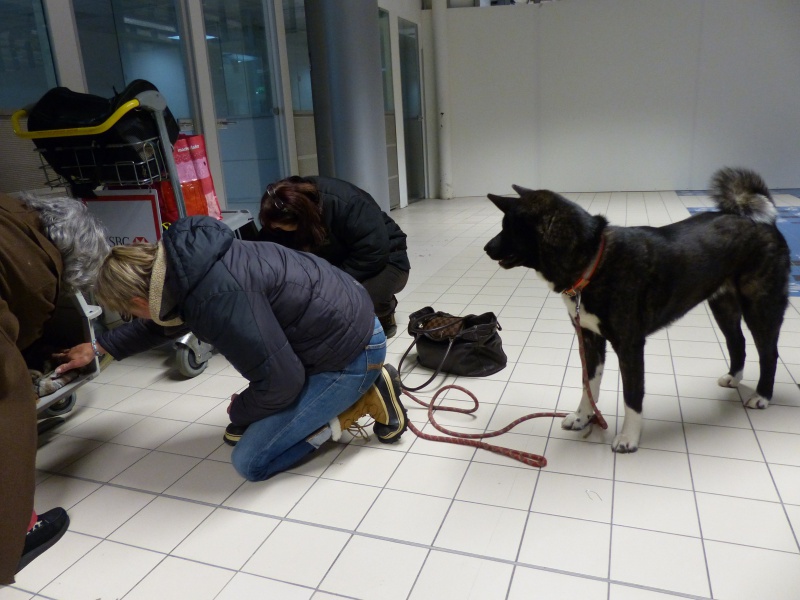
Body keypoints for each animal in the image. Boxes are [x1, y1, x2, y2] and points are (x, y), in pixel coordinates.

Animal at [484, 166, 792, 452]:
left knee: (769, 352)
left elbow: (632, 395)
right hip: (723, 306)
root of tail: (764, 222)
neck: (593, 260)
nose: (487, 248)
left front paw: (628, 438)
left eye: (508, 228)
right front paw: (584, 417)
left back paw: (762, 395)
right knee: (736, 341)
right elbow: (588, 384)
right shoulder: (589, 340)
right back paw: (734, 377)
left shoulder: (629, 346)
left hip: (761, 306)